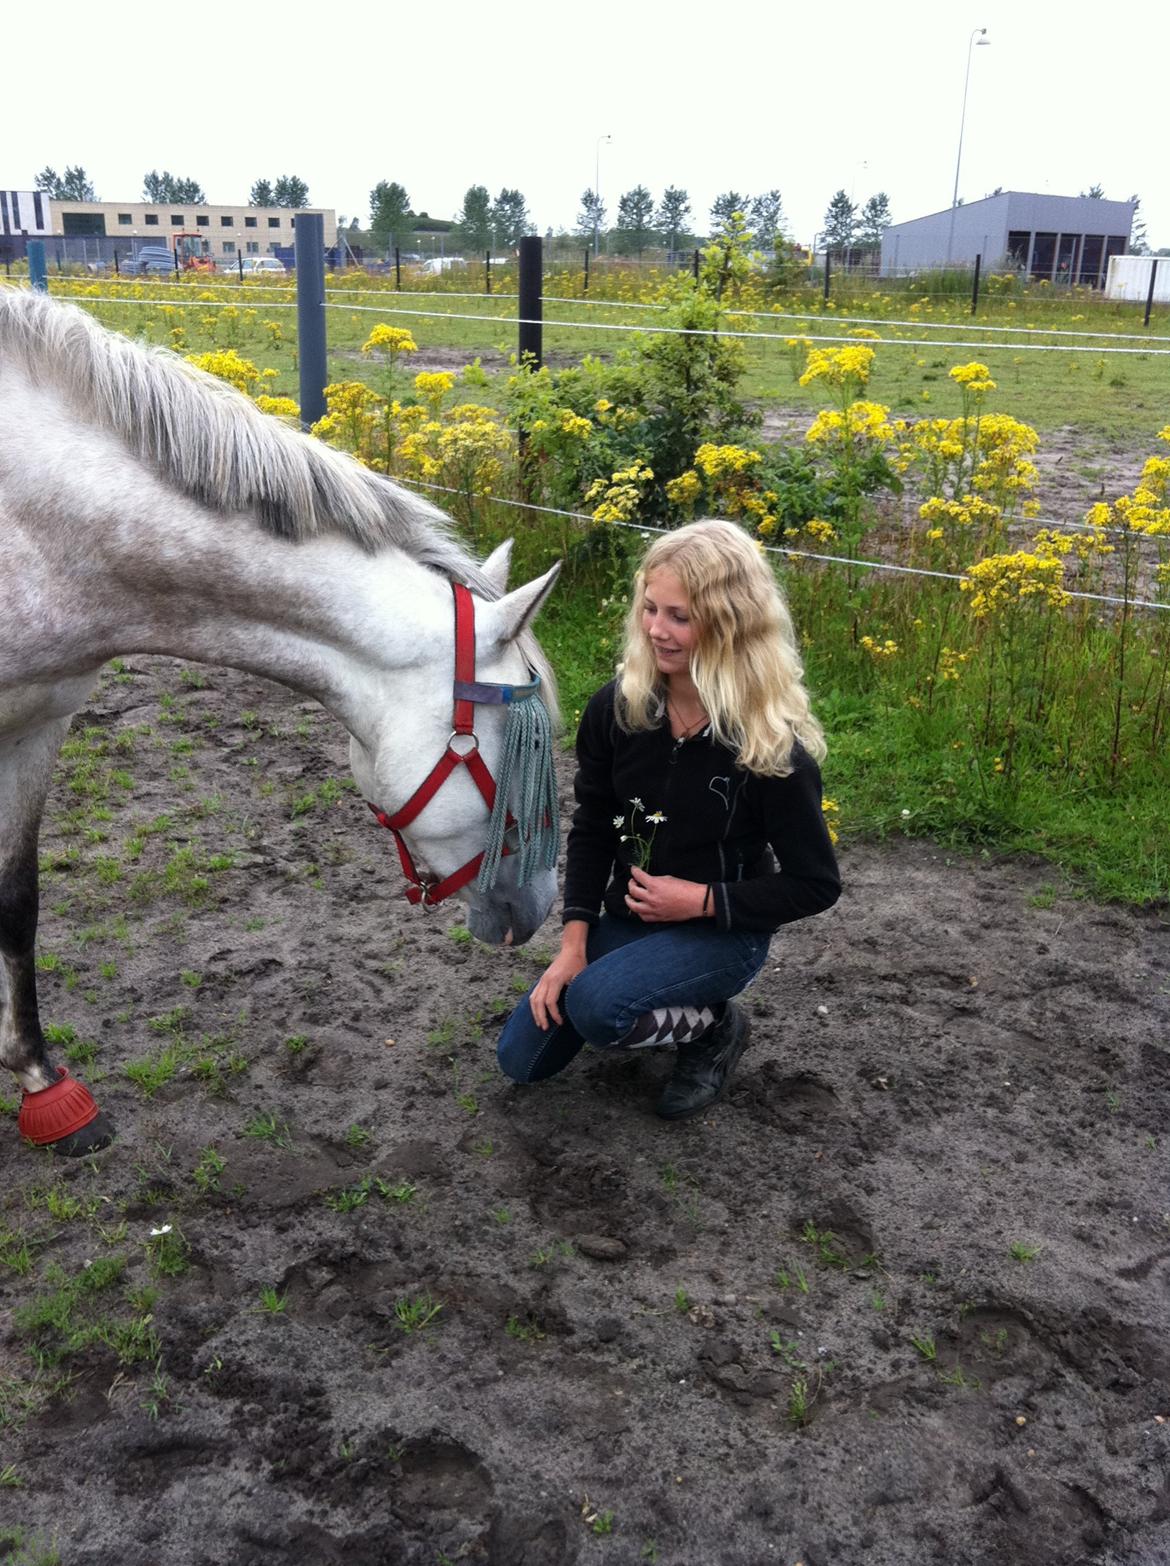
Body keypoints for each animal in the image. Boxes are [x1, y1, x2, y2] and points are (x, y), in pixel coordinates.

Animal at [0, 285, 561, 1156]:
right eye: (529, 751)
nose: (538, 909)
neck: (44, 522)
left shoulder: (37, 724)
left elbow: (17, 900)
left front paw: (43, 1088)